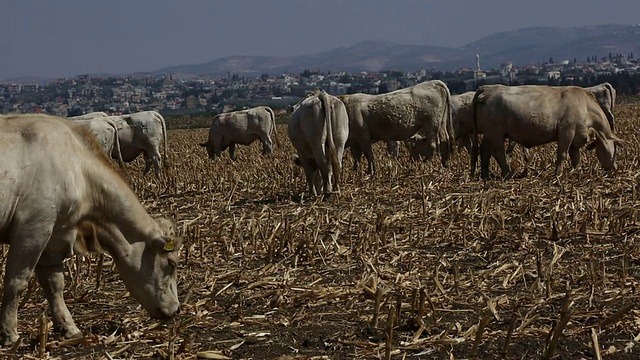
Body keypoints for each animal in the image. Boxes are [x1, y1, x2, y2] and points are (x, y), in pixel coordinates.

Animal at [0, 114, 181, 344]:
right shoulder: (33, 229)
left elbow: (54, 284)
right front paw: (10, 333)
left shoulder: (54, 236)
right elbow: (16, 282)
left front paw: (68, 327)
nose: (176, 310)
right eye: (171, 264)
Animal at [470, 84, 624, 180]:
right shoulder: (566, 132)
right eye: (616, 150)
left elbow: (575, 156)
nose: (614, 168)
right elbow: (562, 154)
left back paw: (485, 175)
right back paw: (508, 174)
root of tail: (487, 89)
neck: (585, 107)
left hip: (490, 134)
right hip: (496, 133)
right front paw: (558, 173)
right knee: (498, 153)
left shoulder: (576, 136)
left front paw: (577, 171)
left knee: (485, 151)